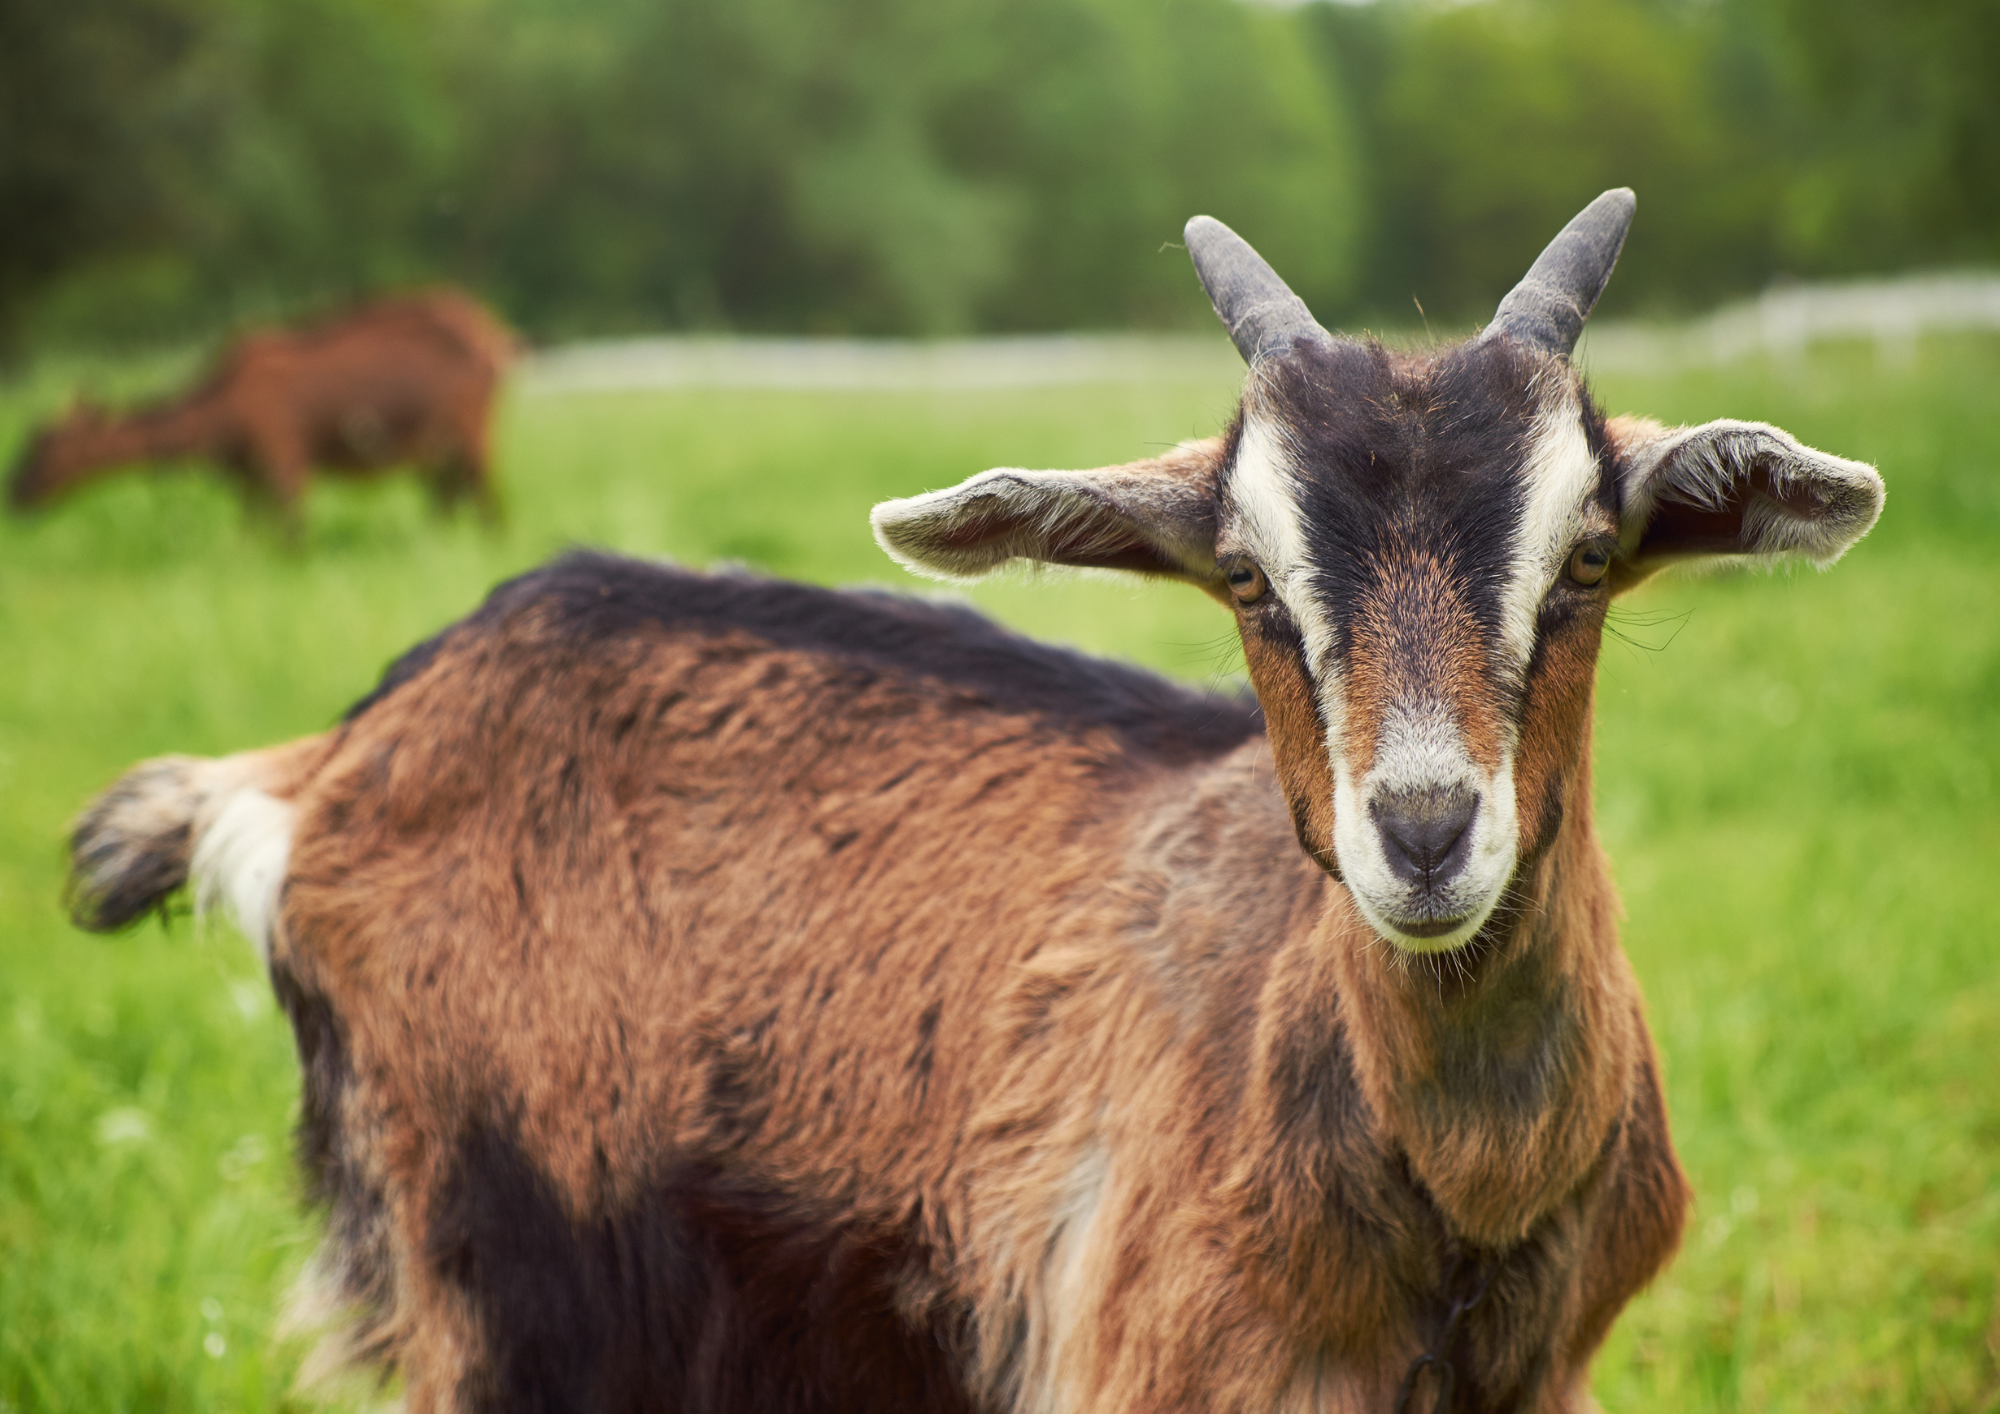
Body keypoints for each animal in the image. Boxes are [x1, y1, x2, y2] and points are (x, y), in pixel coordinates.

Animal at [8, 288, 516, 530]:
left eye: (44, 445)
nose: (14, 491)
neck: (219, 411)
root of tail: (495, 335)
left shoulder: (283, 458)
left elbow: (291, 535)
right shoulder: (248, 477)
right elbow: (252, 535)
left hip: (472, 433)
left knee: (488, 502)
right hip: (440, 448)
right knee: (449, 501)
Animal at [65, 191, 1883, 1412]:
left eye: (1587, 558)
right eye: (1246, 575)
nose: (1426, 832)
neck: (1457, 1202)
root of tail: (329, 759)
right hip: (501, 1278)